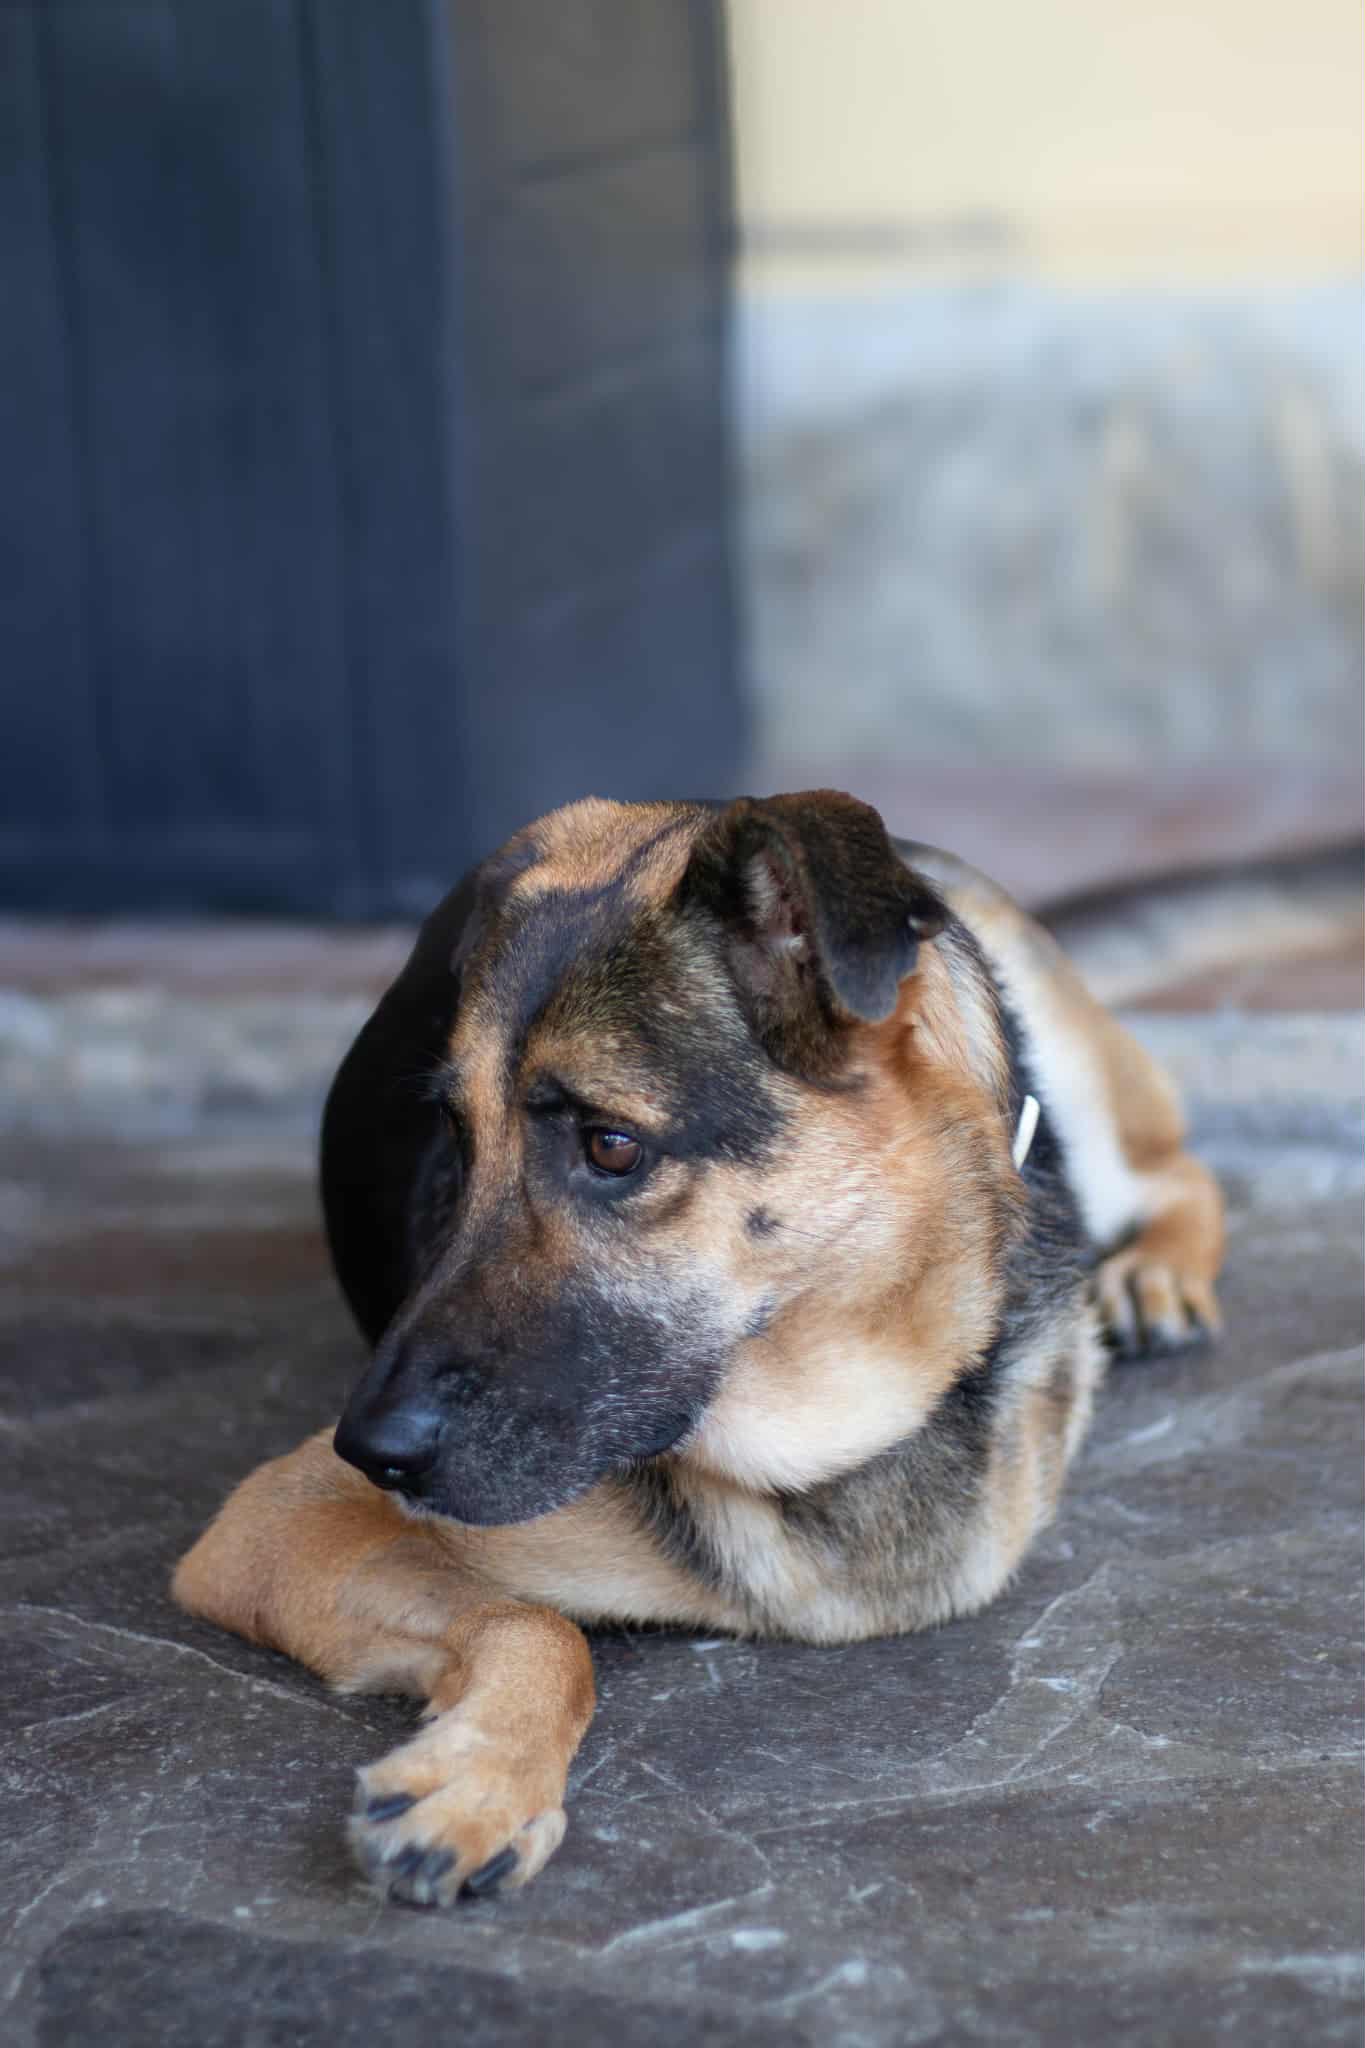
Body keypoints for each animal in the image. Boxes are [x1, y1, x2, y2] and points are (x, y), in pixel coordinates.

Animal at [173, 791, 1223, 1908]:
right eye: (456, 1138)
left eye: (610, 1146)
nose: (370, 1451)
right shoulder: (272, 1524)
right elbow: (539, 1625)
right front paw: (481, 1777)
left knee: (1178, 1165)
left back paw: (1156, 1274)